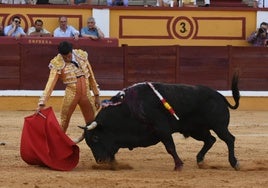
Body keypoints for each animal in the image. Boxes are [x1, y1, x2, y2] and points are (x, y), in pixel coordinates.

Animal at [80, 74, 240, 171]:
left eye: (96, 138)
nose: (100, 161)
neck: (129, 108)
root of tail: (219, 96)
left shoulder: (162, 129)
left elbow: (170, 148)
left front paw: (178, 166)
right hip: (197, 129)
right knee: (210, 140)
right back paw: (200, 160)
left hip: (219, 126)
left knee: (229, 139)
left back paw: (235, 163)